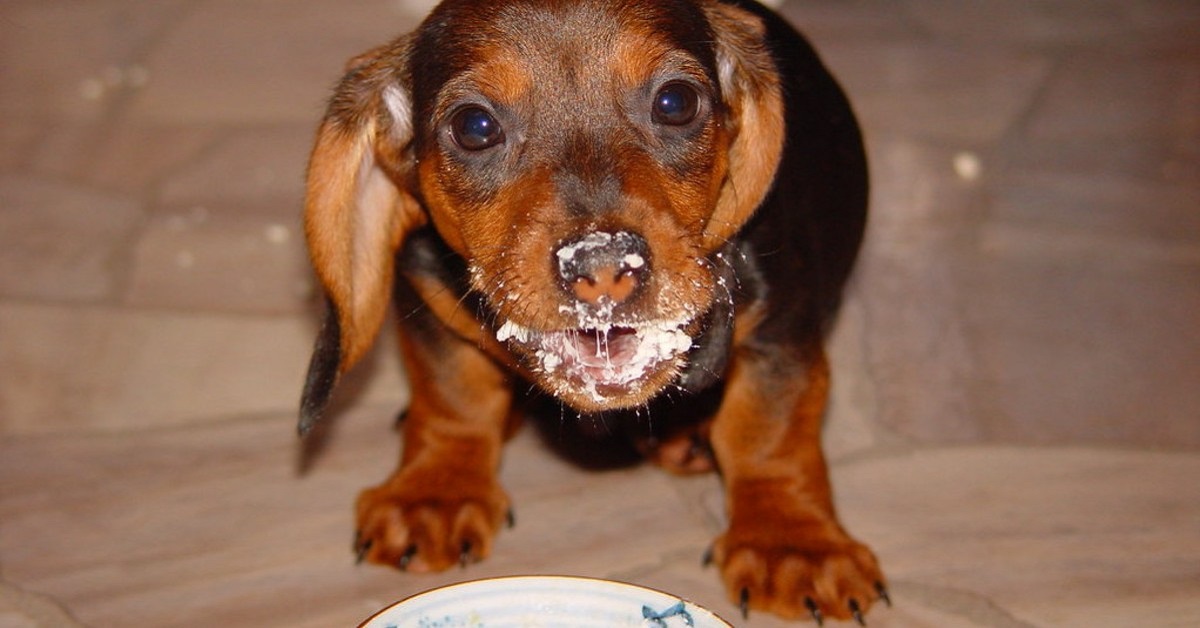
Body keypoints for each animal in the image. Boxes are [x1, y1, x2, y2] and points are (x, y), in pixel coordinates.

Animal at [296, 0, 888, 619]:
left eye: (676, 102)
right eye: (474, 126)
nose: (603, 264)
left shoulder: (781, 331)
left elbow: (770, 429)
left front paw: (793, 542)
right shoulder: (430, 303)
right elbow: (454, 397)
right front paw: (434, 493)